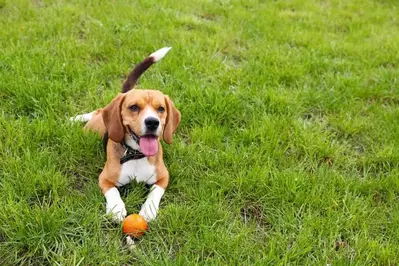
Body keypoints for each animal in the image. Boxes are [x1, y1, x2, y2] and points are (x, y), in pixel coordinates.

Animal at [71, 47, 180, 222]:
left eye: (161, 109)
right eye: (134, 107)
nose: (152, 122)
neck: (136, 154)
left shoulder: (163, 177)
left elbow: (155, 191)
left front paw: (149, 209)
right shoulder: (104, 178)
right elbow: (113, 191)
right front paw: (116, 208)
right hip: (93, 128)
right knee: (98, 111)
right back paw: (75, 119)